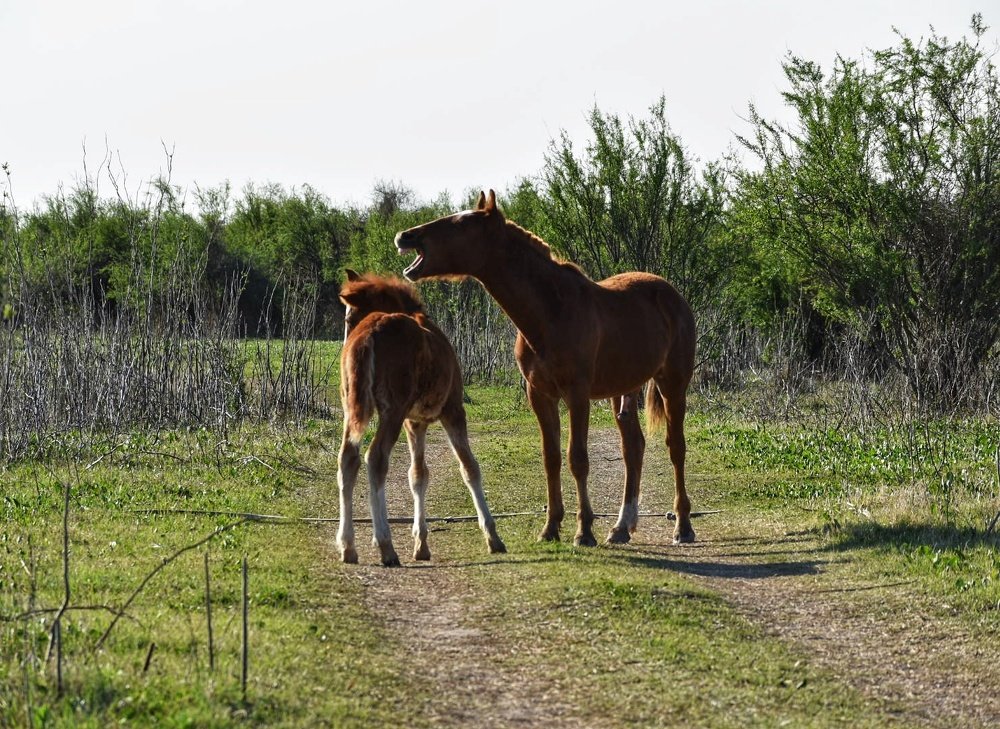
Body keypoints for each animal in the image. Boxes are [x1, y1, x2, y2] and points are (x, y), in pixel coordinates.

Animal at [336, 269, 506, 566]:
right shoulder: (453, 410)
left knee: (348, 458)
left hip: (355, 410)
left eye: (349, 318)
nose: (346, 342)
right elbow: (469, 467)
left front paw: (421, 544)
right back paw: (385, 545)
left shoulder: (414, 422)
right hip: (392, 411)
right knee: (375, 458)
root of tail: (369, 334)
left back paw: (348, 547)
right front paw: (492, 536)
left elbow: (418, 475)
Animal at [394, 191, 696, 547]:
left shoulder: (577, 395)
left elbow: (577, 459)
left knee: (676, 447)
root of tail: (672, 295)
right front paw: (551, 527)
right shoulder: (539, 394)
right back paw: (622, 527)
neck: (550, 312)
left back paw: (683, 526)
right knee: (633, 448)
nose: (405, 236)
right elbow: (551, 459)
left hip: (672, 384)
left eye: (460, 223)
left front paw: (584, 531)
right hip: (623, 390)